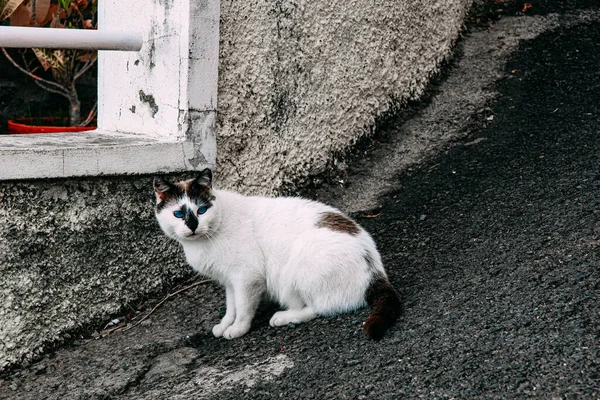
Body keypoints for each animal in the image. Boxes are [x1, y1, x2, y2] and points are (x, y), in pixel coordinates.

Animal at [152, 169, 400, 340]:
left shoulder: (247, 277)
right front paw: (224, 325)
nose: (193, 225)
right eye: (178, 214)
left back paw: (283, 317)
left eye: (201, 210)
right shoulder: (230, 280)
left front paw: (238, 329)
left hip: (297, 267)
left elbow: (243, 308)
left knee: (317, 309)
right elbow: (231, 306)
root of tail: (374, 268)